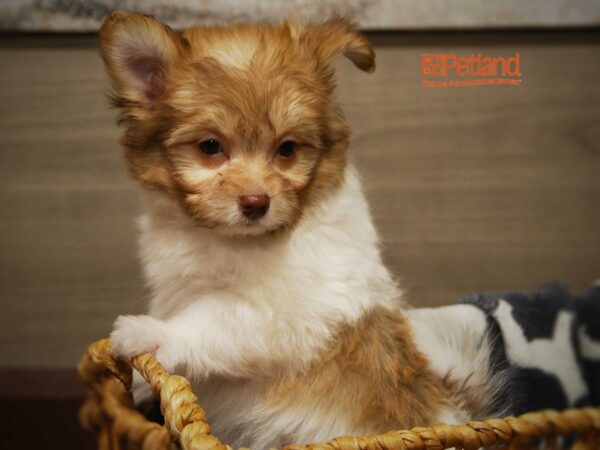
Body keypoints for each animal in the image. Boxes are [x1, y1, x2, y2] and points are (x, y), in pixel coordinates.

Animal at [101, 12, 500, 448]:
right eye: (209, 147)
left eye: (287, 149)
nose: (256, 203)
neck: (227, 241)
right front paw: (142, 381)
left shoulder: (285, 308)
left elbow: (214, 316)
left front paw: (153, 332)